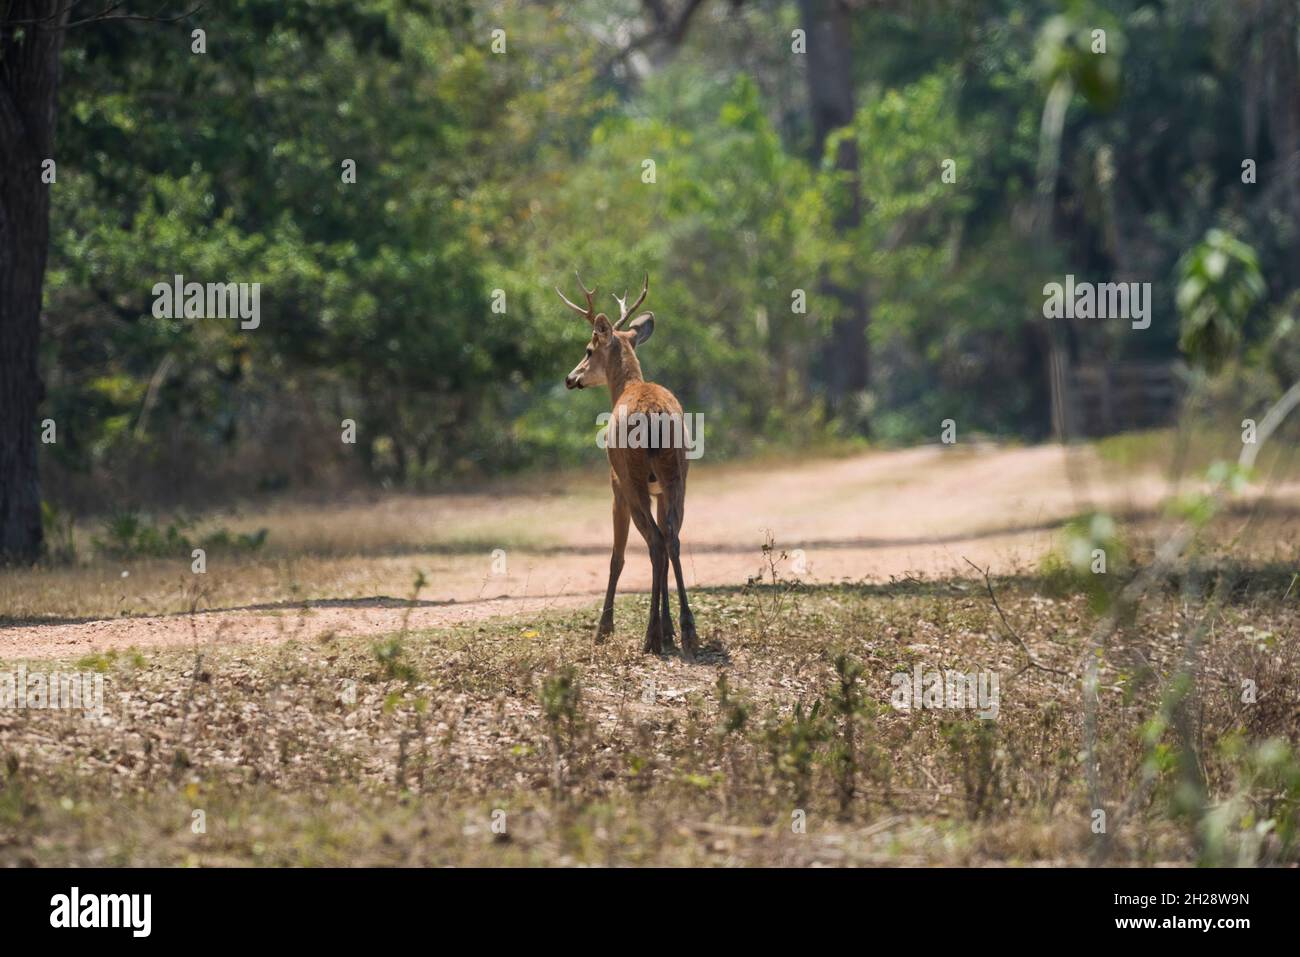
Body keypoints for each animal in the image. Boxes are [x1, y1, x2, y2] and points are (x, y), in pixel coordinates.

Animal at [561, 269, 702, 657]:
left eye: (588, 349)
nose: (570, 378)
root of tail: (653, 415)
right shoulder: (660, 491)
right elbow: (666, 543)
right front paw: (670, 629)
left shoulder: (615, 487)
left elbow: (616, 556)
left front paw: (603, 629)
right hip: (676, 474)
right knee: (672, 538)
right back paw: (686, 630)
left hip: (633, 476)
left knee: (654, 542)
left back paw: (650, 636)